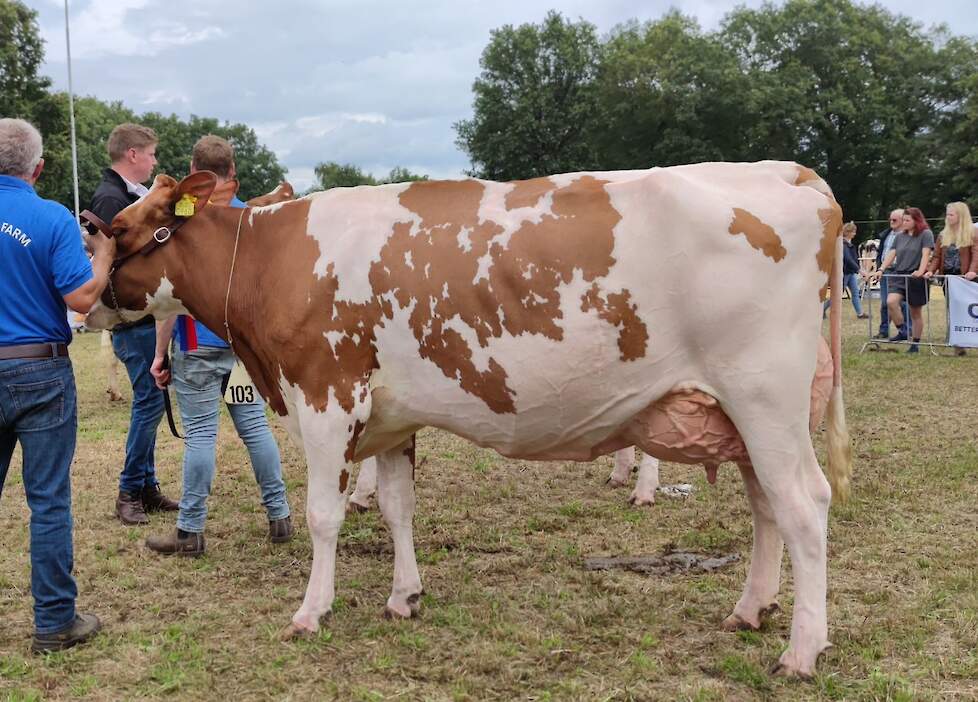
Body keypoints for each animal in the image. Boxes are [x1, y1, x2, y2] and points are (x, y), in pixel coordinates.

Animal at [84, 162, 848, 680]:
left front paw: (311, 611)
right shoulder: (391, 420)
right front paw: (404, 597)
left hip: (765, 399)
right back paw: (751, 610)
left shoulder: (327, 399)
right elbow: (396, 508)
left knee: (803, 505)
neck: (277, 261)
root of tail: (786, 172)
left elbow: (324, 517)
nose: (83, 302)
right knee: (766, 506)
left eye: (116, 228)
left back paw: (802, 649)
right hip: (739, 416)